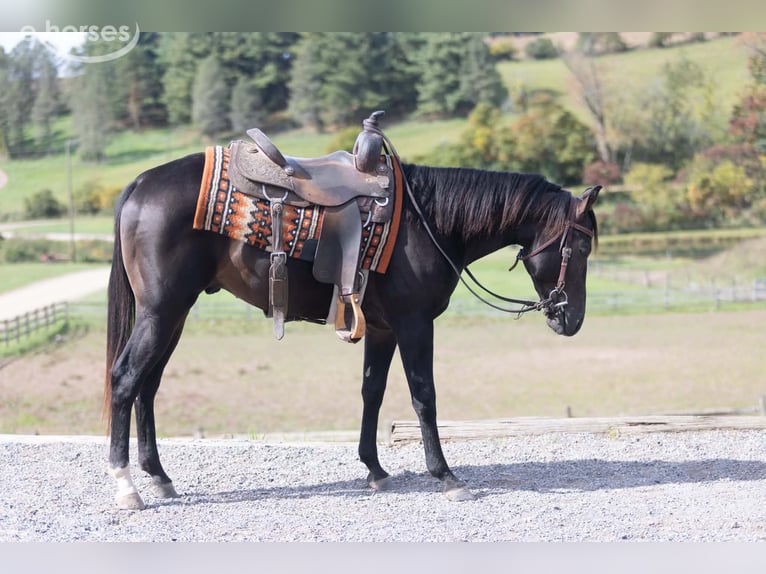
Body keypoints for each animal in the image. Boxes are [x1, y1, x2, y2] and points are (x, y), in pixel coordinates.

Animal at [104, 150, 600, 509]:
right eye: (579, 248)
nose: (571, 319)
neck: (429, 223)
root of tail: (140, 184)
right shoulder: (414, 323)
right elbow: (424, 395)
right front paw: (445, 475)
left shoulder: (382, 330)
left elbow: (372, 392)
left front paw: (375, 470)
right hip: (161, 311)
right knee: (125, 379)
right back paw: (127, 488)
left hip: (174, 315)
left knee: (149, 385)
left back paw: (159, 477)